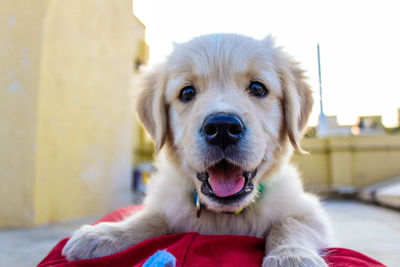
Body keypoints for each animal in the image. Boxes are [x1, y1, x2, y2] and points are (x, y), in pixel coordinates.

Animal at [62, 34, 332, 267]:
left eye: (258, 88)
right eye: (187, 92)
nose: (222, 128)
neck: (225, 215)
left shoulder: (310, 213)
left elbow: (289, 224)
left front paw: (292, 256)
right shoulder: (168, 207)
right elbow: (149, 218)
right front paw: (104, 234)